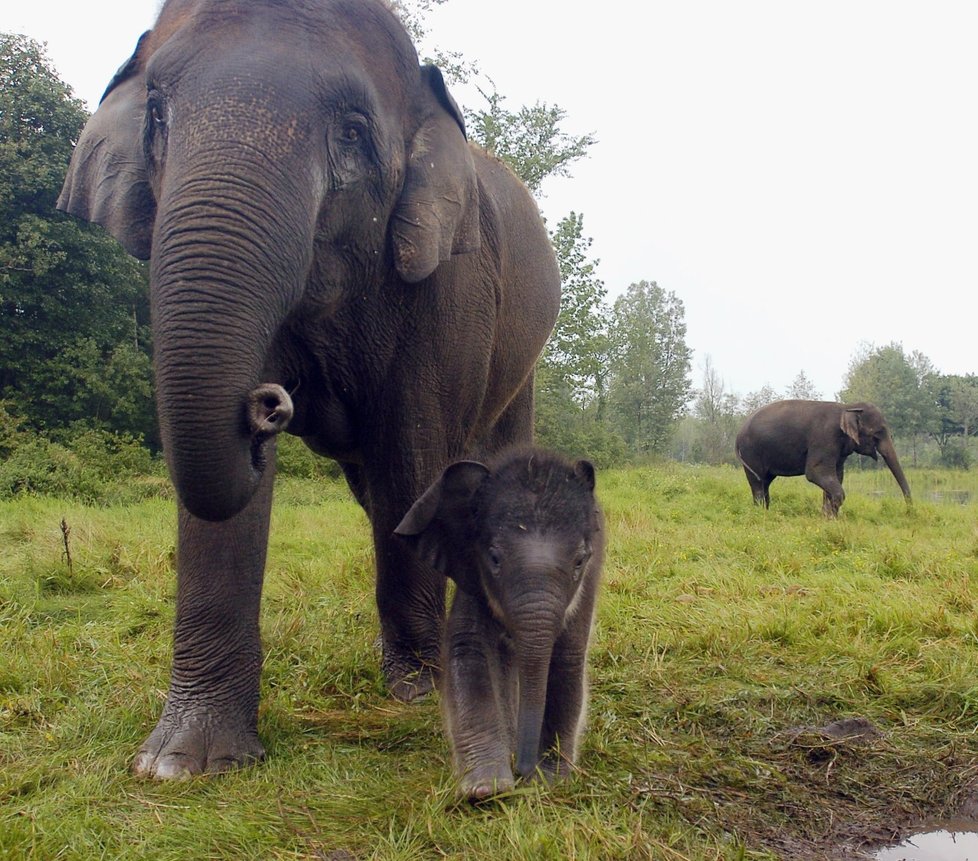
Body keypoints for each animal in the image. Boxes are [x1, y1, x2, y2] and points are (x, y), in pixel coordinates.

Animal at [57, 0, 556, 780]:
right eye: (157, 114)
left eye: (351, 132)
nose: (268, 405)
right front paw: (182, 762)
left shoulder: (452, 282)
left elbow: (412, 449)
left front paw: (417, 690)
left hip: (521, 355)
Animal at [392, 450, 600, 800]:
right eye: (494, 559)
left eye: (580, 560)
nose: (523, 771)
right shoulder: (469, 568)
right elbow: (469, 648)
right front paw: (484, 789)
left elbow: (567, 658)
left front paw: (549, 782)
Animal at [736, 398, 912, 512]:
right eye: (876, 434)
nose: (909, 511)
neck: (847, 407)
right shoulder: (824, 438)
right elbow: (815, 473)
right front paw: (830, 517)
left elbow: (837, 475)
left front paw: (828, 518)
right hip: (750, 452)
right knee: (758, 483)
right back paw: (760, 513)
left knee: (765, 482)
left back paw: (765, 512)